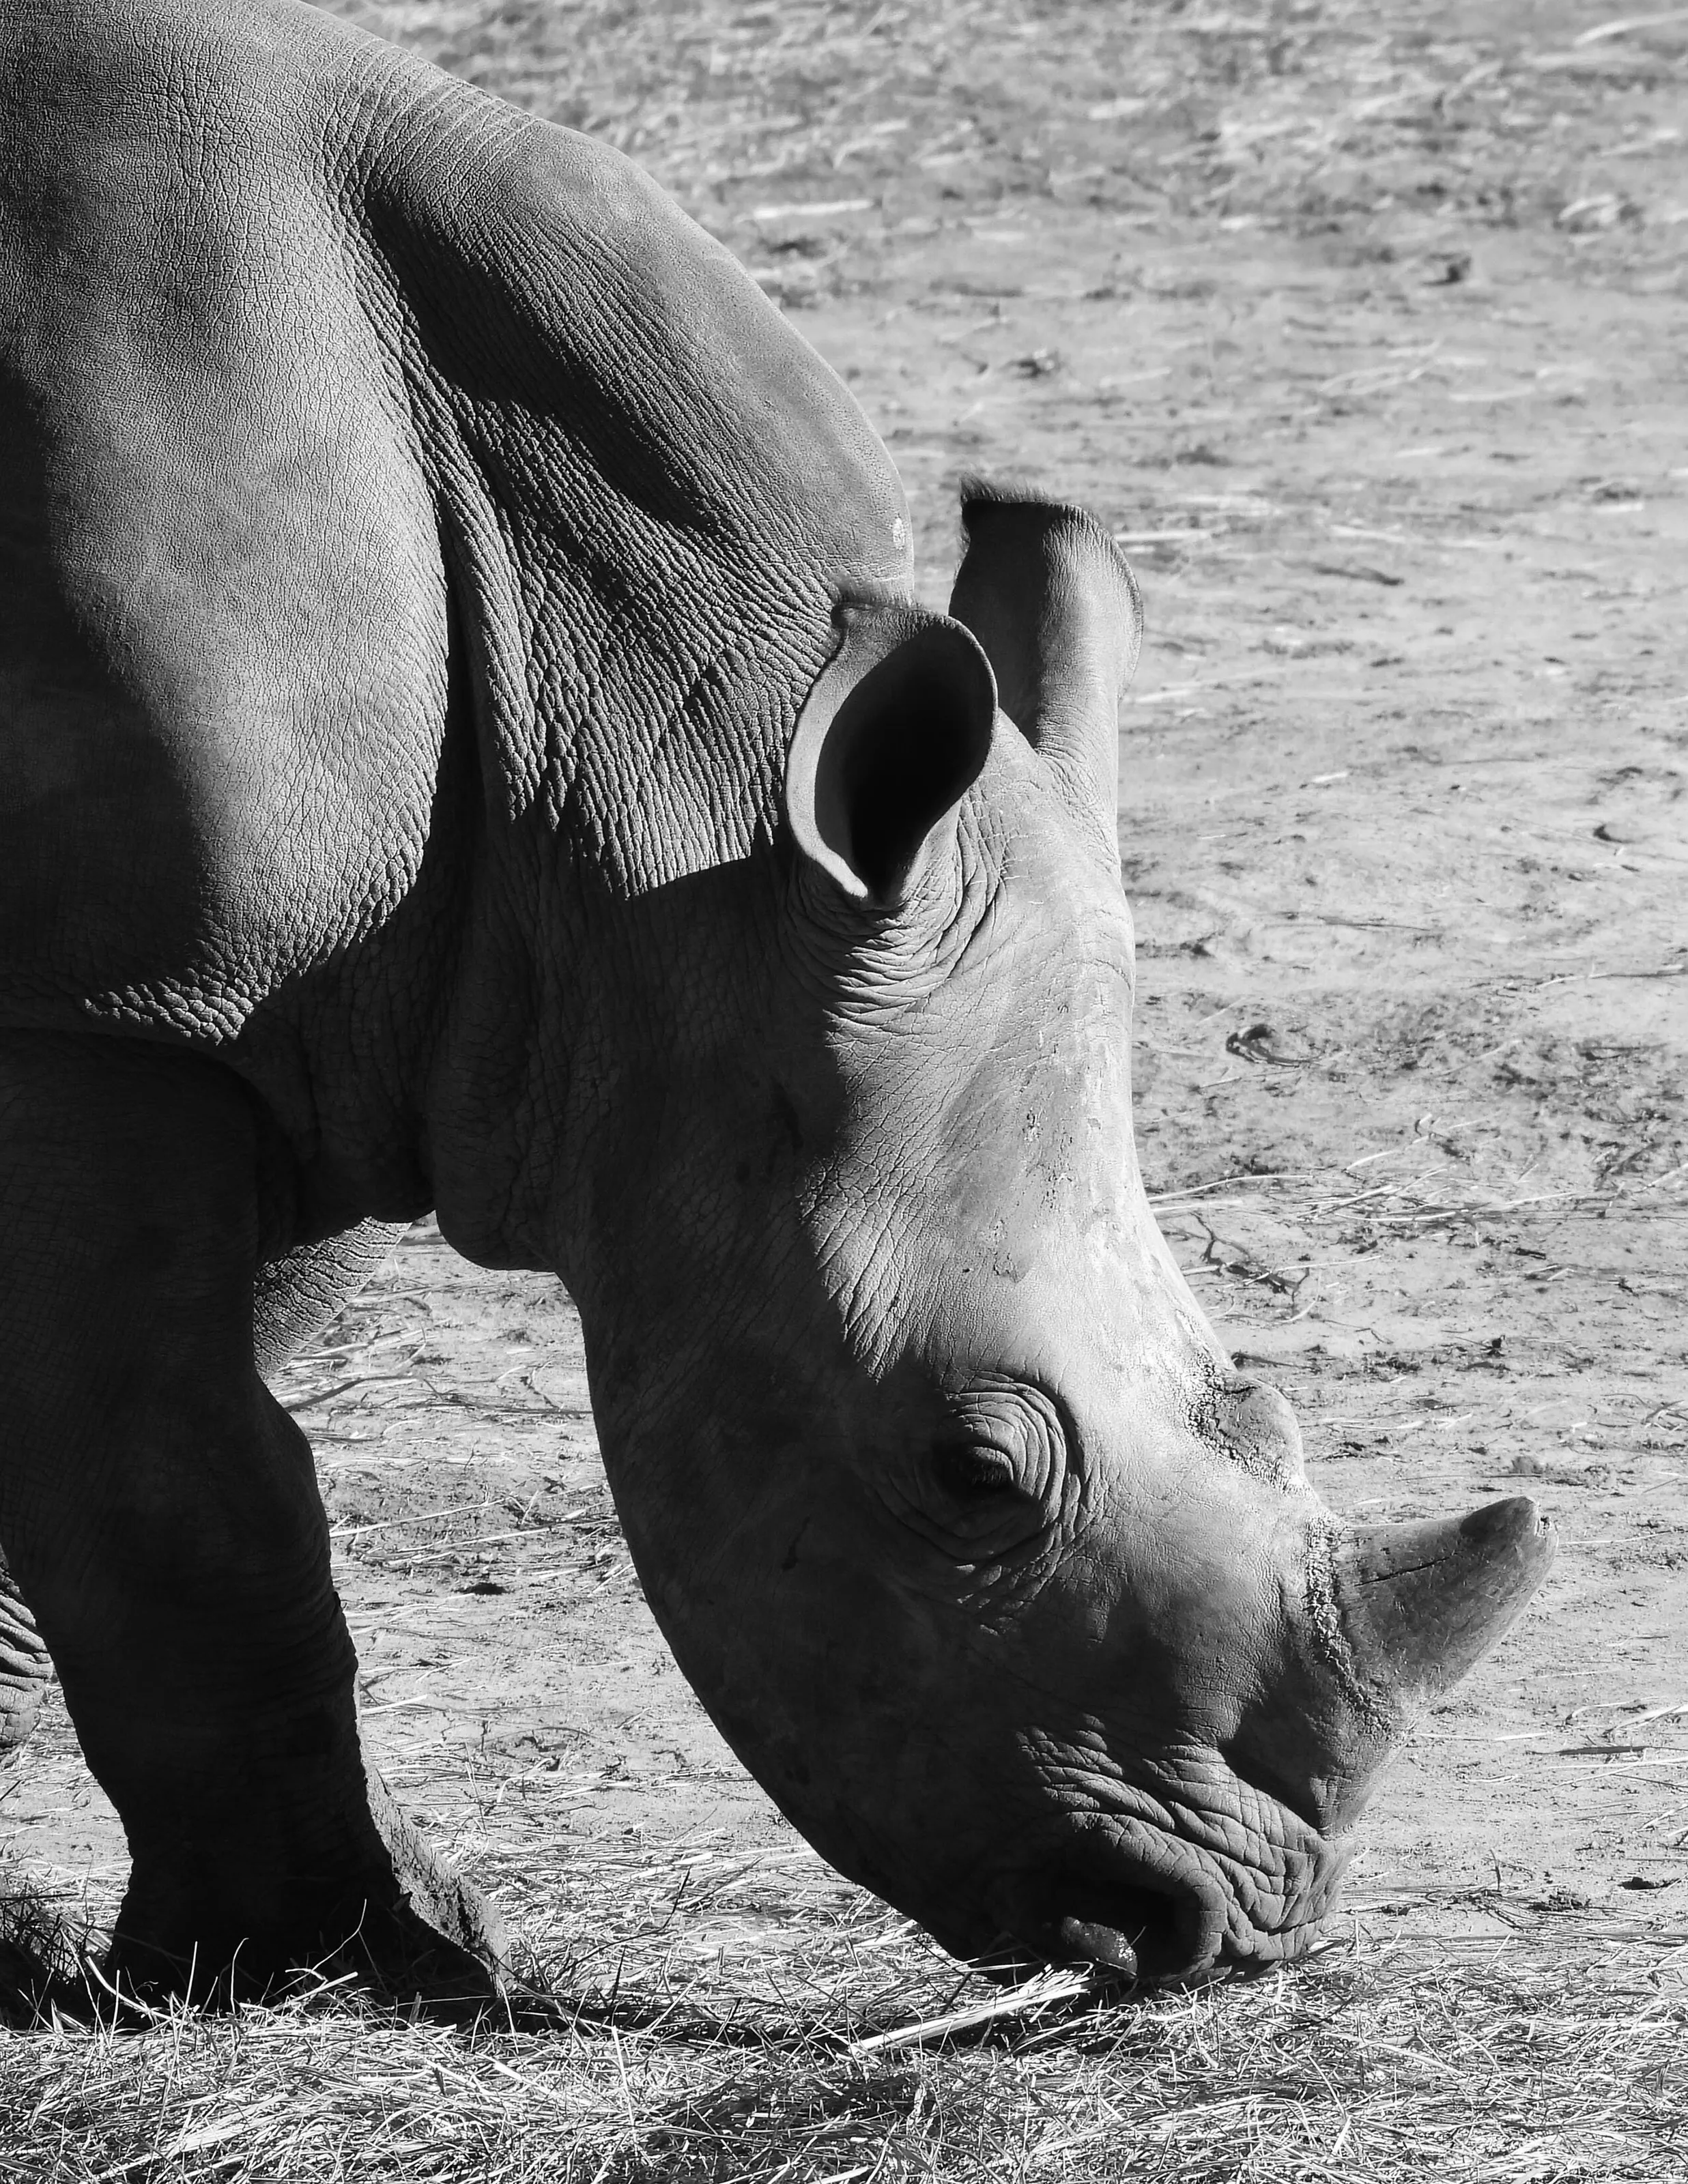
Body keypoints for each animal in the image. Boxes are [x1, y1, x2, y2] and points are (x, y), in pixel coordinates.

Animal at [0, 0, 1553, 2003]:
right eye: (972, 1472)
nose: (1205, 1935)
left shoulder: (290, 1010)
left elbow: (180, 1448)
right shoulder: (104, 1006)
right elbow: (194, 1493)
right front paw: (356, 1961)